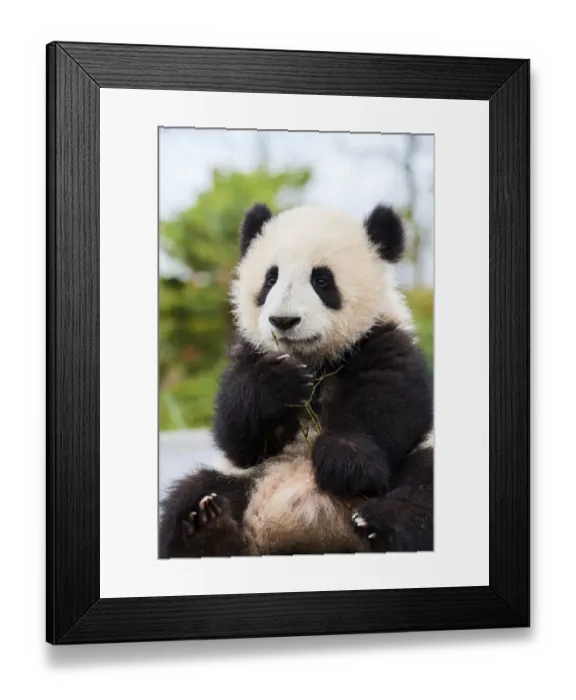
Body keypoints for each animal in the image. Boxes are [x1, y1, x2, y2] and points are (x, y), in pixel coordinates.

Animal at [159, 202, 434, 558]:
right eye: (271, 278)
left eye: (322, 279)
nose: (284, 321)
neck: (315, 362)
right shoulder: (248, 354)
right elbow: (237, 437)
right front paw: (279, 383)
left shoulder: (385, 341)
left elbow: (388, 405)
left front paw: (343, 462)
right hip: (243, 480)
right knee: (191, 492)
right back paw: (206, 528)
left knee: (421, 489)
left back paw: (377, 525)